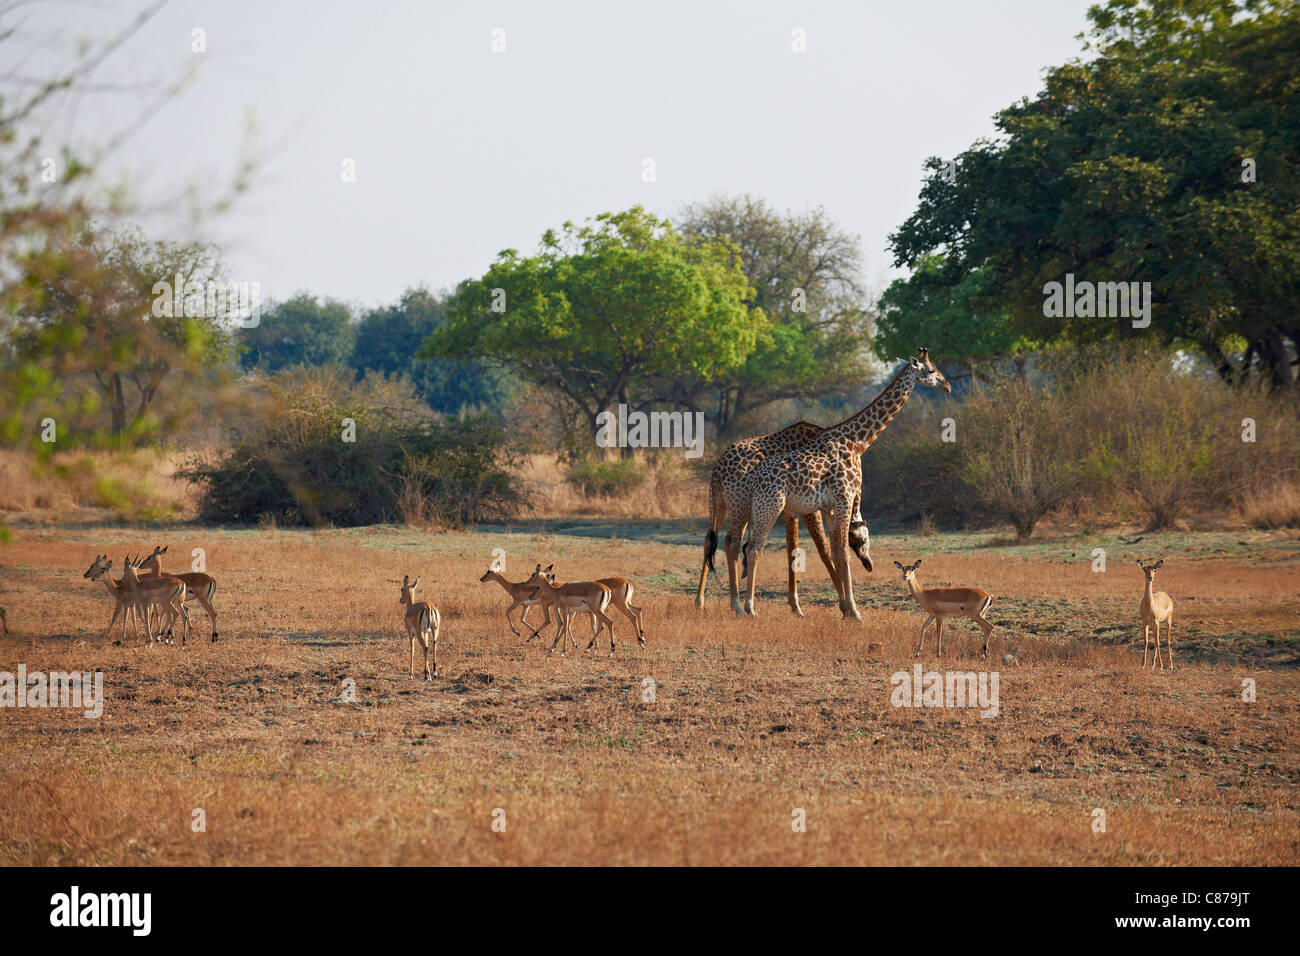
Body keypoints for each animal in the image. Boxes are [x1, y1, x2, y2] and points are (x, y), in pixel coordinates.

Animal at [691, 421, 873, 616]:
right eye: (862, 540)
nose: (868, 564)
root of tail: (717, 470)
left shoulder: (797, 509)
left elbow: (794, 548)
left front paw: (797, 606)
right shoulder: (810, 508)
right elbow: (823, 549)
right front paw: (844, 606)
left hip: (719, 503)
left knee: (711, 540)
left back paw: (700, 602)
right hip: (741, 506)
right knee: (731, 542)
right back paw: (737, 606)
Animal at [738, 348, 951, 621]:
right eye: (931, 370)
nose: (947, 386)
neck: (857, 442)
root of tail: (755, 482)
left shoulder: (830, 506)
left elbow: (836, 552)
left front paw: (847, 610)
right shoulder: (845, 498)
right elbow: (843, 553)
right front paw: (855, 612)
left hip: (760, 509)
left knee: (747, 548)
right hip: (770, 507)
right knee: (754, 549)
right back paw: (750, 608)